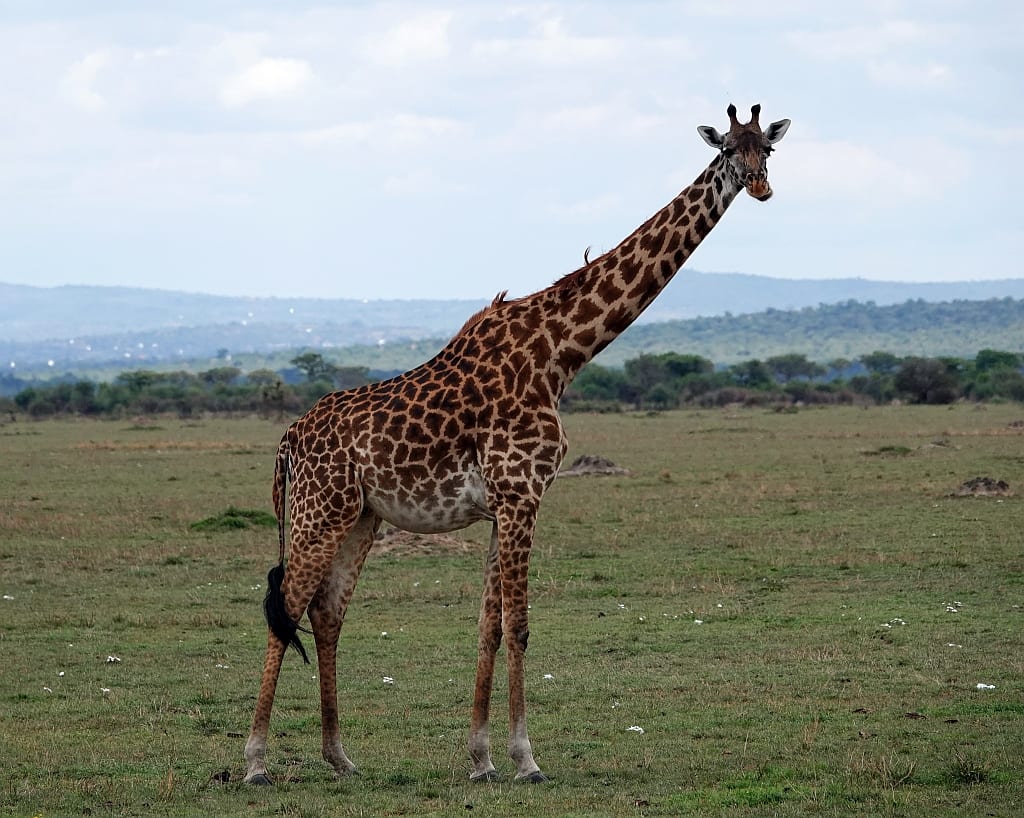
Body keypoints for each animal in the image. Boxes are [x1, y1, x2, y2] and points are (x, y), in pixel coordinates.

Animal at [243, 103, 790, 785]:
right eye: (728, 151)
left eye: (768, 148)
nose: (762, 187)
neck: (563, 354)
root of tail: (288, 440)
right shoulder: (522, 494)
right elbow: (522, 626)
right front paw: (525, 758)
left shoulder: (503, 503)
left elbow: (490, 627)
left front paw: (480, 757)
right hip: (320, 510)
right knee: (286, 607)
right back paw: (255, 761)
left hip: (360, 516)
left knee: (326, 612)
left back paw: (339, 755)